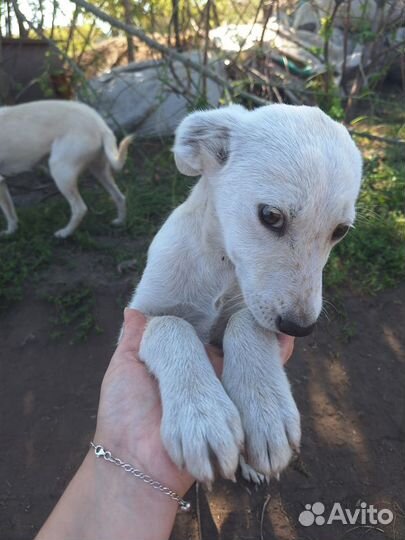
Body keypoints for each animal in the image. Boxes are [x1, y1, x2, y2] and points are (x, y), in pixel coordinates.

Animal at [0, 99, 131, 238]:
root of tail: (100, 126)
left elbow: (7, 212)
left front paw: (10, 232)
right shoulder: (2, 183)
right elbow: (10, 212)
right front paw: (12, 230)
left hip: (60, 171)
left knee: (80, 208)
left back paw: (65, 233)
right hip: (100, 171)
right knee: (119, 197)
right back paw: (120, 222)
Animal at [128, 103, 362, 484]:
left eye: (340, 231)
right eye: (271, 215)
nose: (300, 328)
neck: (223, 265)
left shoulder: (252, 312)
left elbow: (246, 323)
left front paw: (265, 412)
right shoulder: (141, 315)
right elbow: (170, 326)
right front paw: (201, 417)